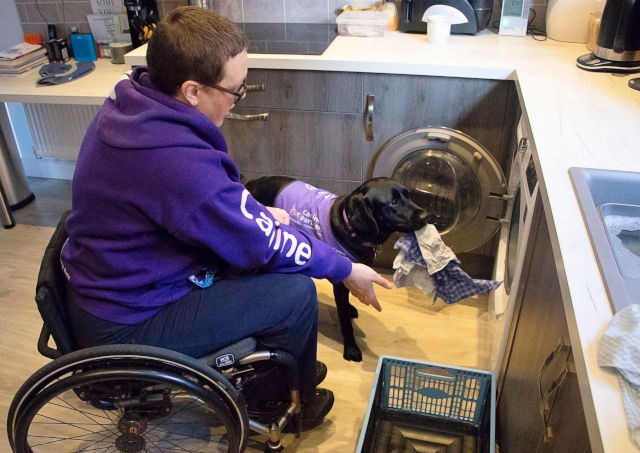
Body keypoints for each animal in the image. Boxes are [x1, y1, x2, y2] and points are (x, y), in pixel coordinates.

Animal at [246, 176, 430, 360]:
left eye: (408, 195)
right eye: (394, 202)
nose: (426, 216)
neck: (353, 230)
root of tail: (250, 182)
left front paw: (349, 308)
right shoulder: (343, 282)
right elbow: (345, 322)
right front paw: (351, 348)